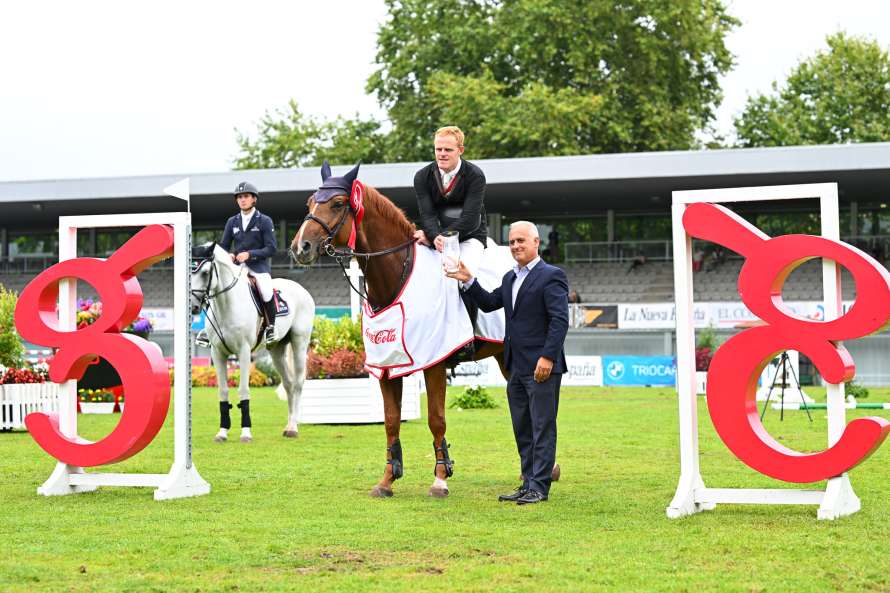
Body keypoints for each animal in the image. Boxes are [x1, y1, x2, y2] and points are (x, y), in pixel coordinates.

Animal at [189, 243, 314, 442]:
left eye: (205, 272)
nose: (193, 306)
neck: (227, 304)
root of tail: (300, 288)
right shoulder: (218, 353)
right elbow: (223, 391)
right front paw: (222, 432)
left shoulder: (244, 352)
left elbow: (243, 390)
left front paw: (246, 432)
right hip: (276, 350)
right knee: (288, 384)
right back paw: (288, 426)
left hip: (299, 342)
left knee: (298, 383)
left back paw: (294, 428)